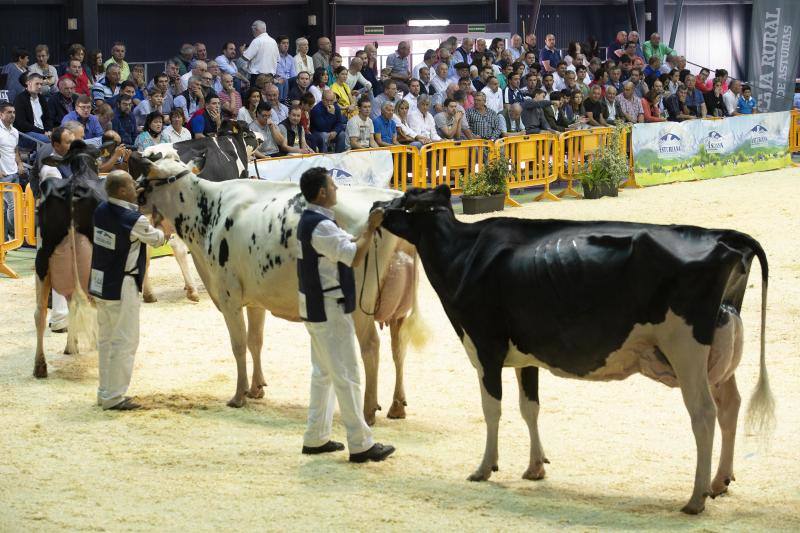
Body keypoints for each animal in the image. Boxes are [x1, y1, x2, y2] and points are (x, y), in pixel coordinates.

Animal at [130, 154, 424, 424]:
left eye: (147, 178)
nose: (135, 194)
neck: (208, 211)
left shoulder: (228, 296)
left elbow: (238, 344)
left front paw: (239, 395)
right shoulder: (255, 299)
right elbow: (255, 341)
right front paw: (256, 388)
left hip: (361, 305)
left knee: (371, 347)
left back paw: (368, 410)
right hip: (399, 308)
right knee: (399, 347)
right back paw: (397, 405)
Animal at [375, 185, 774, 514]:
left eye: (406, 200)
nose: (378, 206)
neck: (462, 255)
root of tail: (722, 236)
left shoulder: (485, 347)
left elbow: (493, 410)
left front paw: (484, 468)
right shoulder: (526, 354)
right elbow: (529, 407)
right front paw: (535, 466)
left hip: (686, 347)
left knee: (704, 414)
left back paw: (695, 499)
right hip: (719, 351)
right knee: (730, 405)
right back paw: (719, 482)